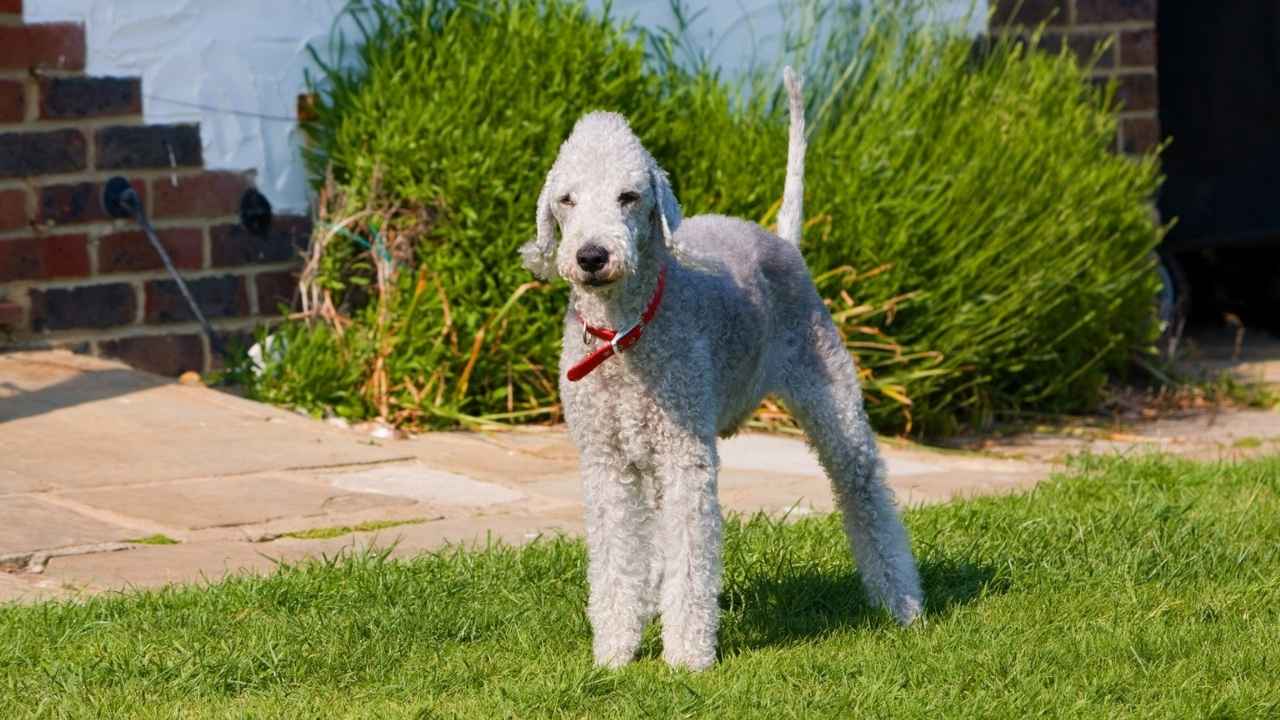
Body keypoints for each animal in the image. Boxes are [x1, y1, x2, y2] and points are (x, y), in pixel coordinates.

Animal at [519, 67, 921, 666]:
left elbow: (691, 557)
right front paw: (613, 653)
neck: (625, 334)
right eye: (566, 200)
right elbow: (616, 558)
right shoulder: (606, 460)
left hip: (830, 394)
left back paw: (903, 604)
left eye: (629, 196)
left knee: (864, 489)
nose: (592, 256)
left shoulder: (686, 454)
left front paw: (687, 658)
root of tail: (781, 240)